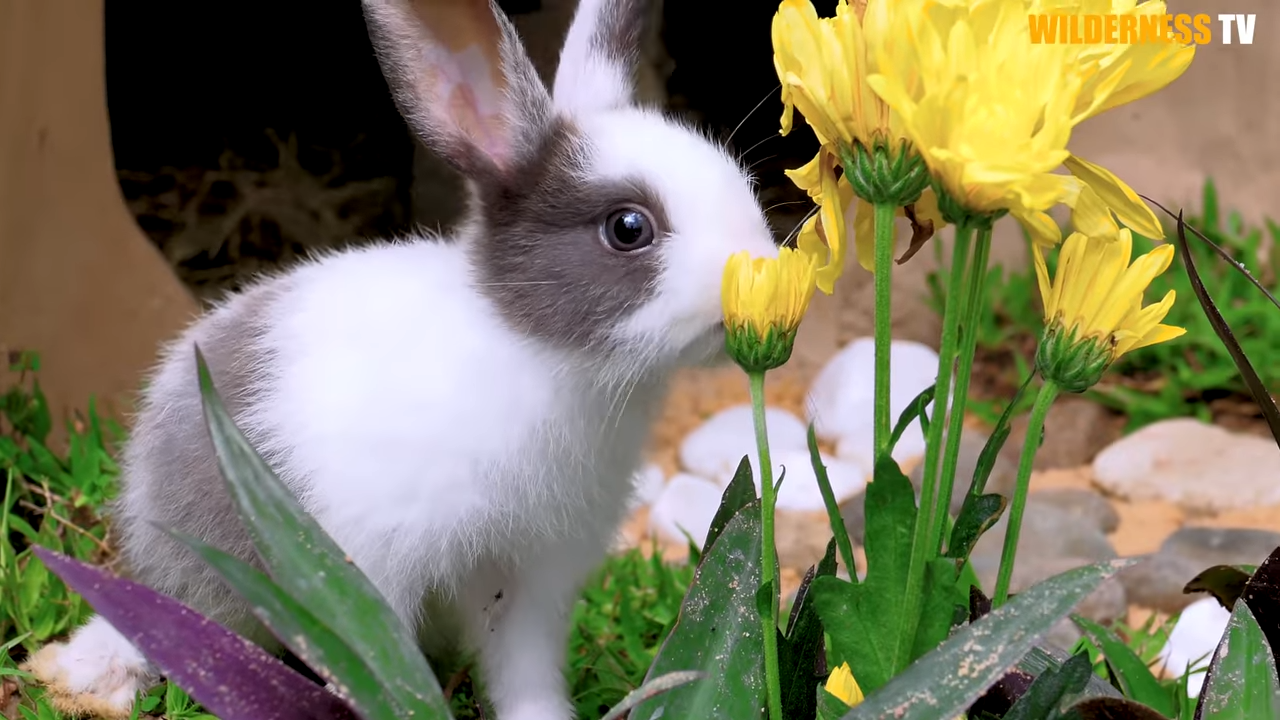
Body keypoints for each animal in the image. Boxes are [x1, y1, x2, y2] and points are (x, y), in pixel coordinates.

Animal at [22, 0, 781, 718]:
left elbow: (524, 672)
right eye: (628, 228)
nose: (758, 269)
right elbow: (382, 661)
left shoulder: (531, 578)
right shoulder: (367, 564)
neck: (536, 352)